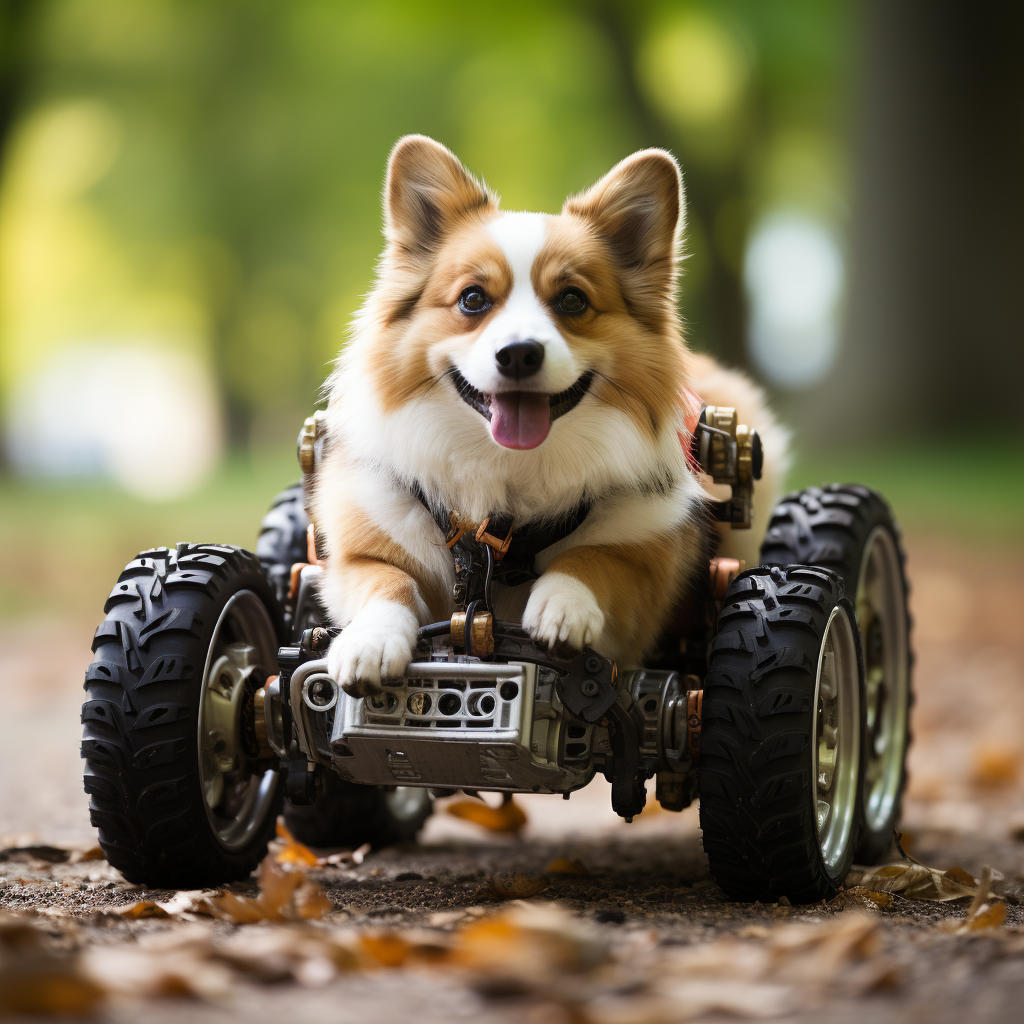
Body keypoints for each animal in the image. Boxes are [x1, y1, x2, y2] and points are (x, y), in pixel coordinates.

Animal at [315, 136, 786, 696]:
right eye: (472, 299)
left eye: (572, 300)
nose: (519, 354)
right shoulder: (358, 551)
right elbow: (386, 580)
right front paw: (369, 641)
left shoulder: (647, 564)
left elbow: (596, 557)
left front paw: (563, 604)